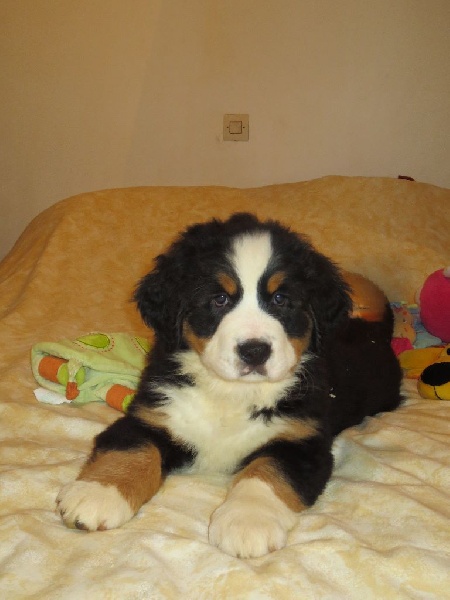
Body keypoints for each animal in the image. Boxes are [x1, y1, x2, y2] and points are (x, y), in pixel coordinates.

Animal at [57, 213, 402, 558]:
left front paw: (249, 521)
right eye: (219, 299)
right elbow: (132, 451)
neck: (231, 393)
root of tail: (372, 329)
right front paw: (97, 494)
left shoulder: (302, 442)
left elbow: (265, 472)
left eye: (281, 299)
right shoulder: (151, 415)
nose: (255, 350)